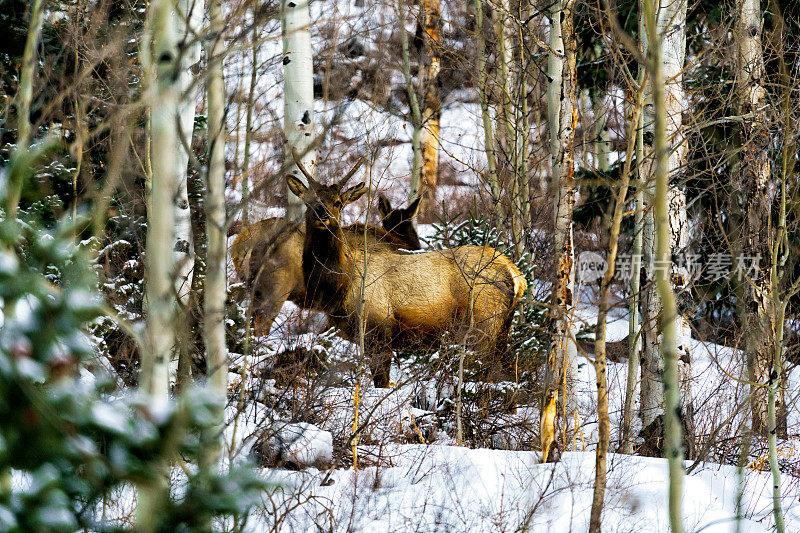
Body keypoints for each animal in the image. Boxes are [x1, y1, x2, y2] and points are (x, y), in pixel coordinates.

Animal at [286, 158, 524, 386]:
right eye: (309, 201)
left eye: (338, 203)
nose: (322, 216)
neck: (339, 284)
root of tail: (515, 274)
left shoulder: (378, 327)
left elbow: (382, 381)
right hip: (501, 328)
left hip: (485, 324)